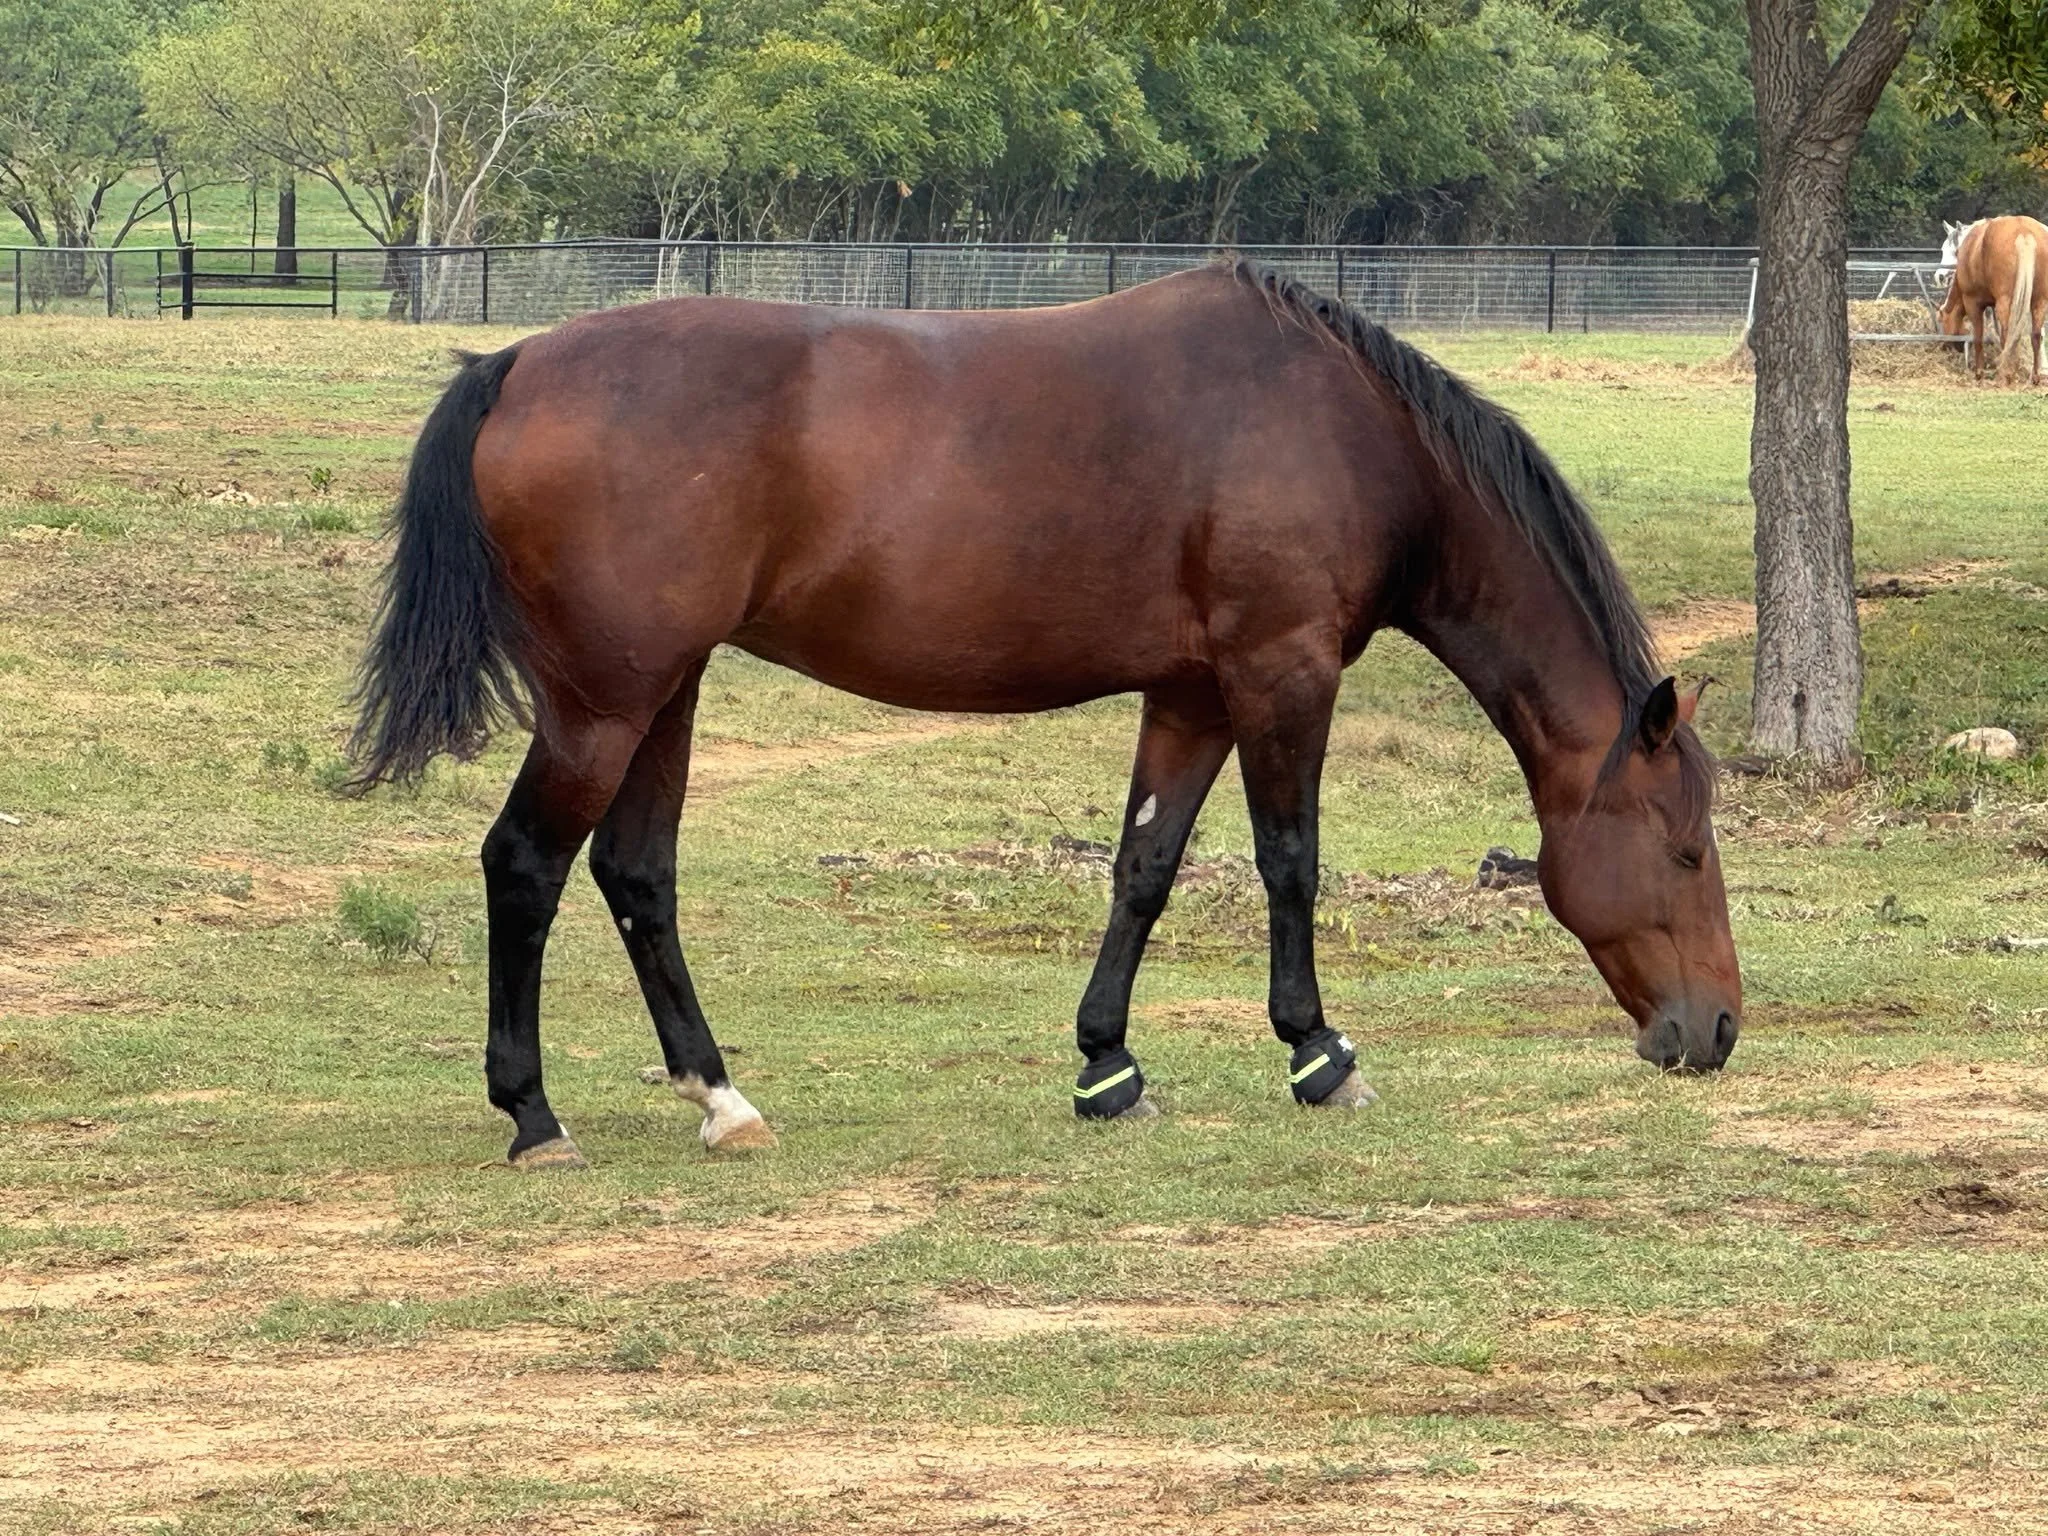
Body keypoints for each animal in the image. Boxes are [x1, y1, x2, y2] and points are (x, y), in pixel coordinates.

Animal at [349, 259, 1743, 1169]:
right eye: (1683, 848)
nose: (1715, 1029)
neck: (1348, 431)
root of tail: (516, 364)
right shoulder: (1281, 675)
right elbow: (1289, 862)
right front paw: (1316, 1056)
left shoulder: (1190, 695)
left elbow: (1144, 867)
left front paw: (1106, 1068)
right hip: (603, 703)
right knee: (525, 865)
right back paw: (533, 1118)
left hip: (665, 695)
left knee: (637, 875)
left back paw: (720, 1099)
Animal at [1938, 215, 2048, 384]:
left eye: (1954, 251)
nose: (1940, 276)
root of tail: (2024, 231)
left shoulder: (1973, 303)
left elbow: (1979, 337)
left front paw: (1979, 372)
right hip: (2039, 301)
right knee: (2036, 335)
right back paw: (2034, 375)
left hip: (2006, 303)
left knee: (2008, 335)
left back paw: (2006, 374)